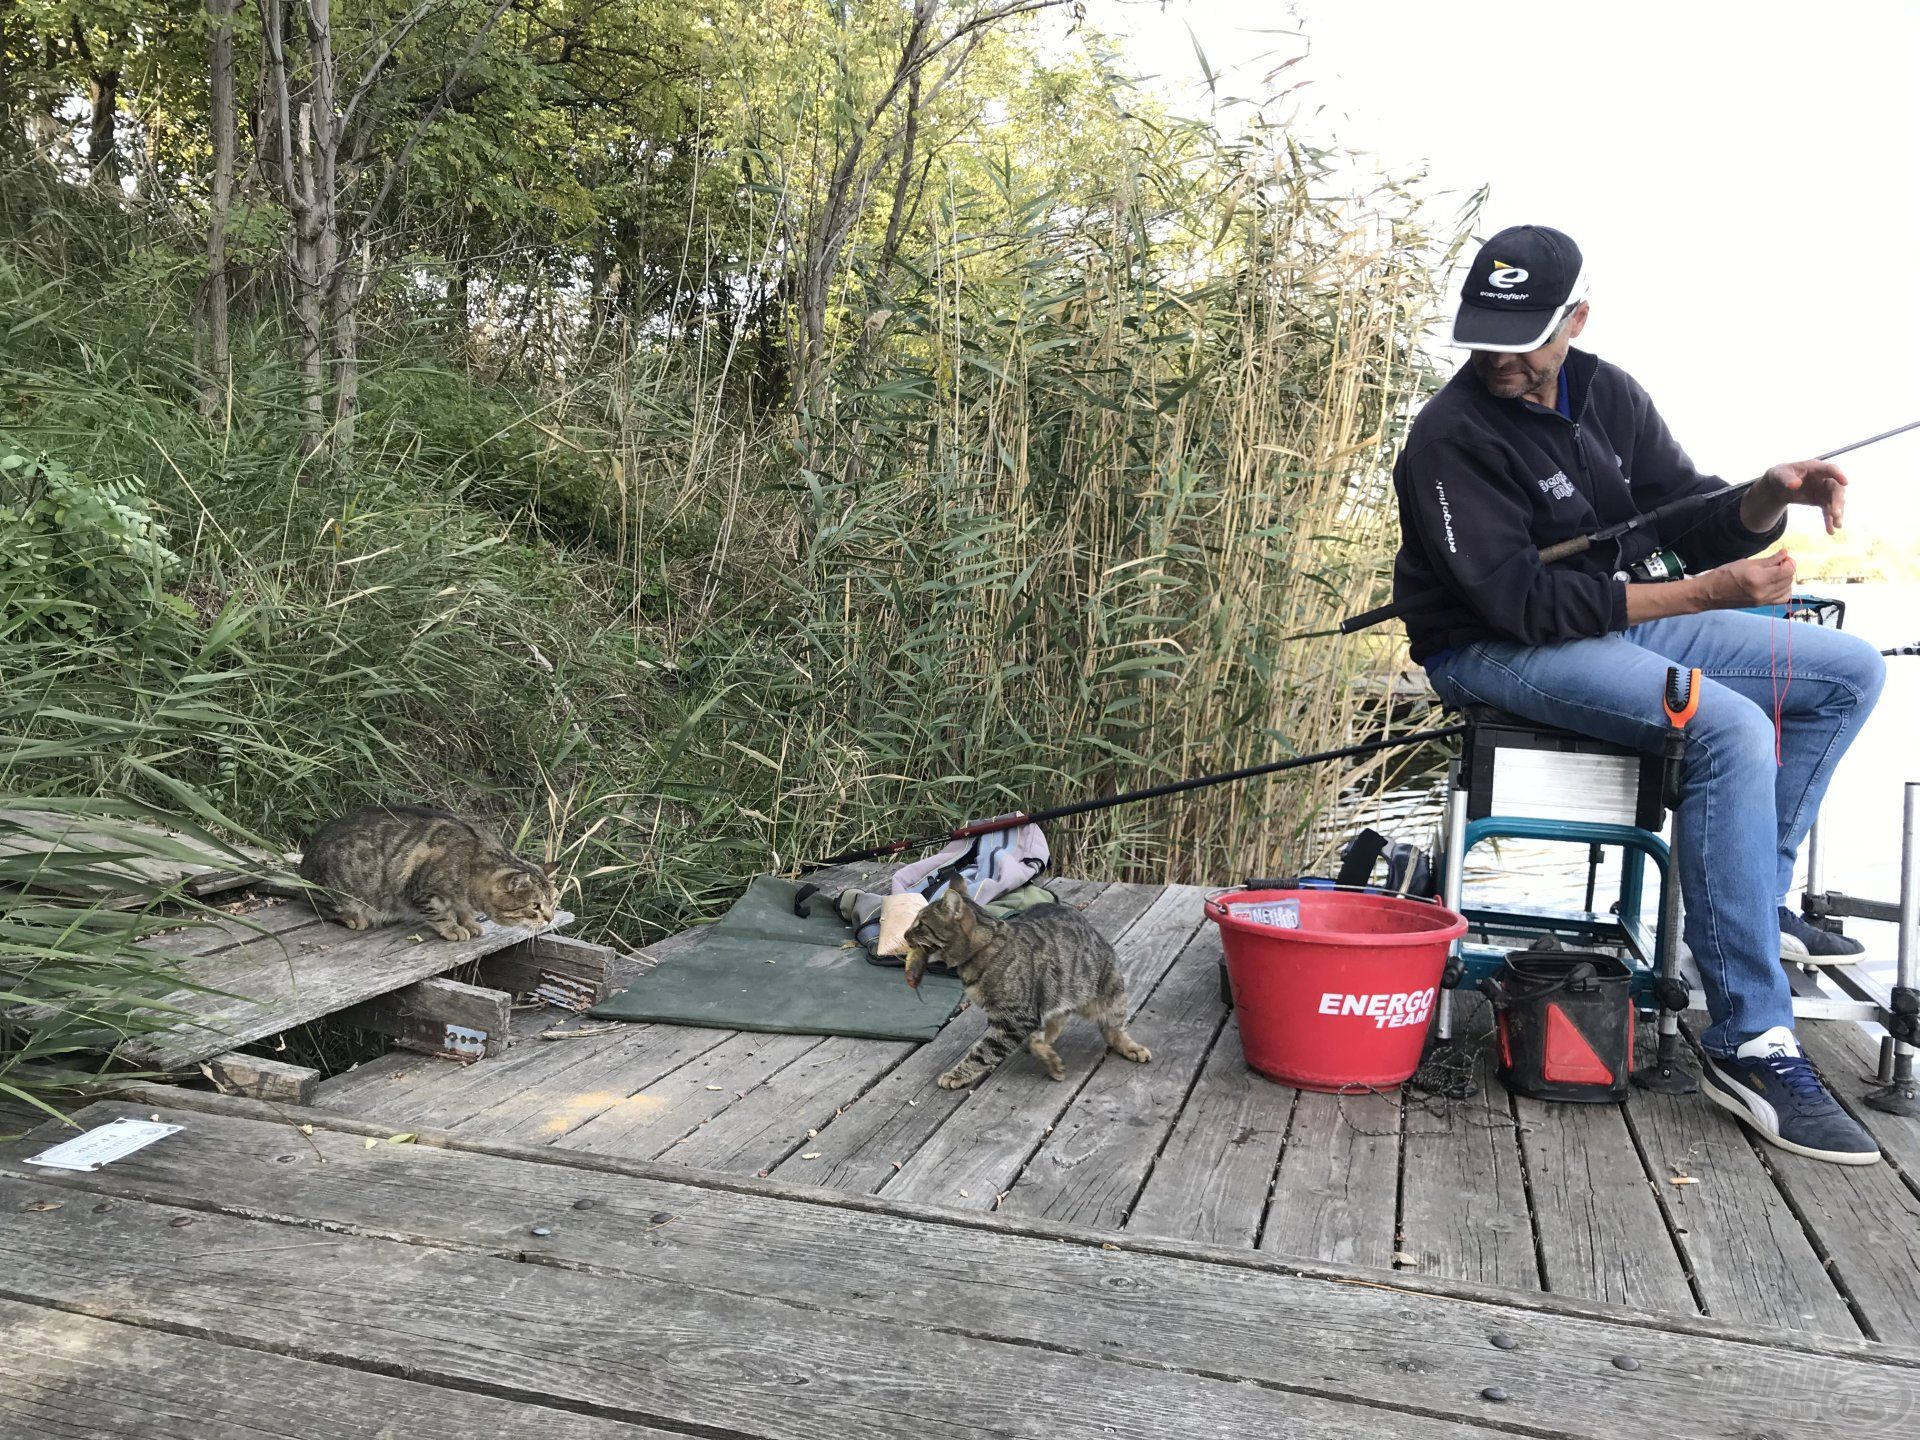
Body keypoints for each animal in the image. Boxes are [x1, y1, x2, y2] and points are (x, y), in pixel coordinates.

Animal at [295, 806, 560, 940]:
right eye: (535, 905)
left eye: (554, 901)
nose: (550, 918)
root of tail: (303, 865)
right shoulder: (422, 891)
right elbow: (440, 914)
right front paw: (453, 928)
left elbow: (463, 911)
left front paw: (469, 922)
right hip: (337, 890)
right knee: (321, 906)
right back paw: (352, 917)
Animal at [902, 879, 1152, 1090]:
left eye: (920, 925)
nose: (904, 935)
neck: (984, 948)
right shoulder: (1013, 1017)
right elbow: (1028, 1038)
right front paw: (1048, 1057)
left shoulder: (1015, 1018)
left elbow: (982, 1051)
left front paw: (956, 1074)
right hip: (1056, 991)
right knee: (1058, 1019)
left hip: (1107, 993)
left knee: (1112, 1029)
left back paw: (1130, 1047)